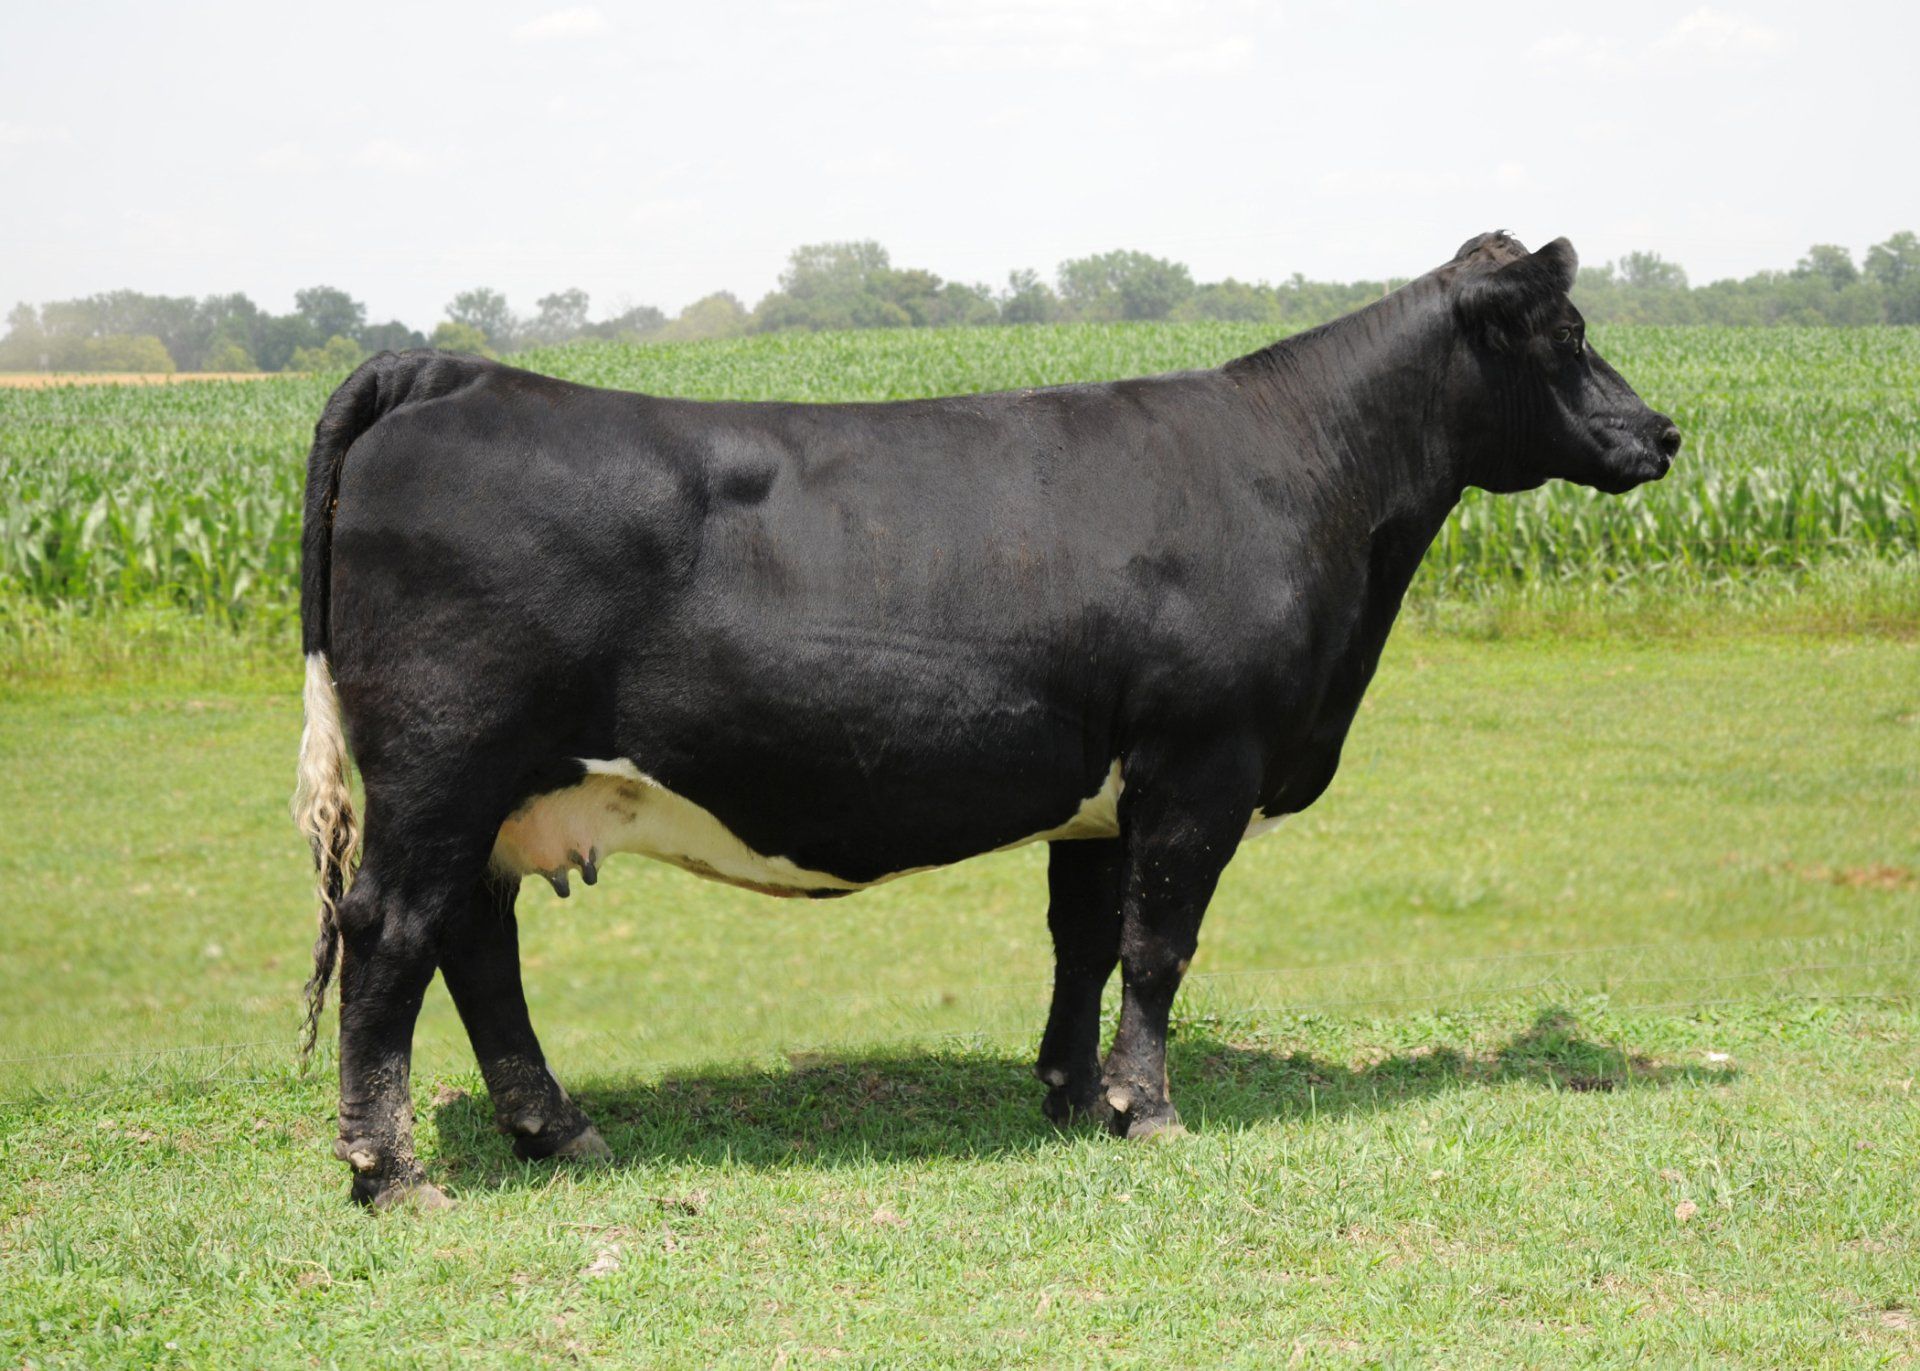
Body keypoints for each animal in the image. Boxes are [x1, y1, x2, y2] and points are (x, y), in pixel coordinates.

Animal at [292, 231, 1679, 1208]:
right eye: (1564, 332)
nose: (1661, 431)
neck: (1305, 479)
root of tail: (452, 368)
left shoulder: (1105, 789)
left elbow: (1087, 943)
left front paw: (1074, 1097)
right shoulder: (1201, 763)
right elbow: (1160, 948)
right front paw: (1150, 1111)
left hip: (500, 789)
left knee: (474, 943)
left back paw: (556, 1129)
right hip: (445, 765)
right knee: (394, 935)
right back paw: (392, 1172)